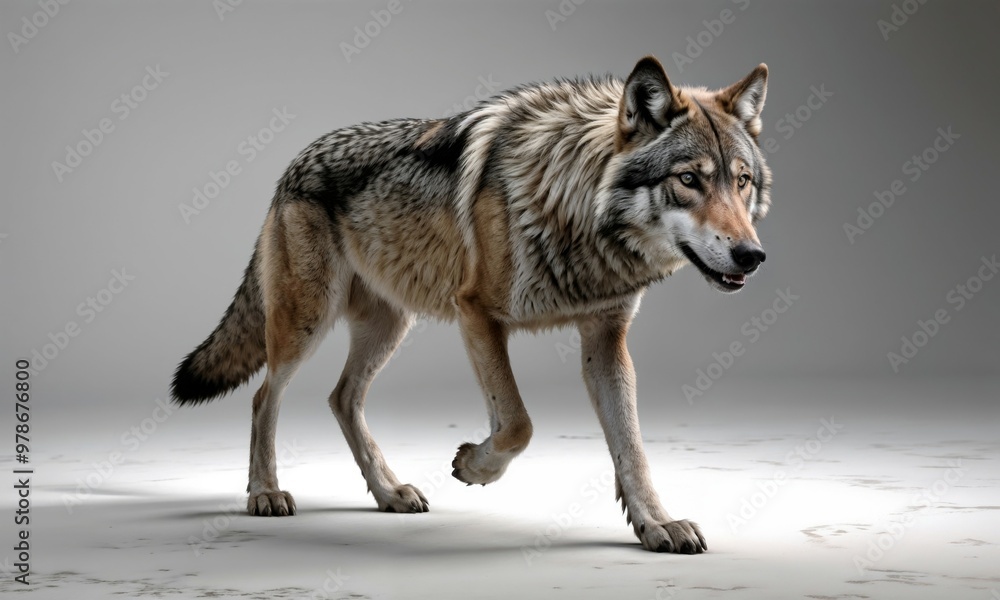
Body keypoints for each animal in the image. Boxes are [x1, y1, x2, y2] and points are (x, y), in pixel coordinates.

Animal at [170, 56, 771, 554]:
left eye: (741, 182)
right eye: (688, 180)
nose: (752, 256)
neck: (570, 203)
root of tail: (295, 160)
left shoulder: (606, 341)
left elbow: (633, 448)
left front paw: (656, 525)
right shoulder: (478, 315)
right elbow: (518, 423)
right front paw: (472, 467)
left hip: (390, 325)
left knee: (341, 398)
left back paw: (388, 492)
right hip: (307, 323)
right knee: (263, 398)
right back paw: (265, 493)